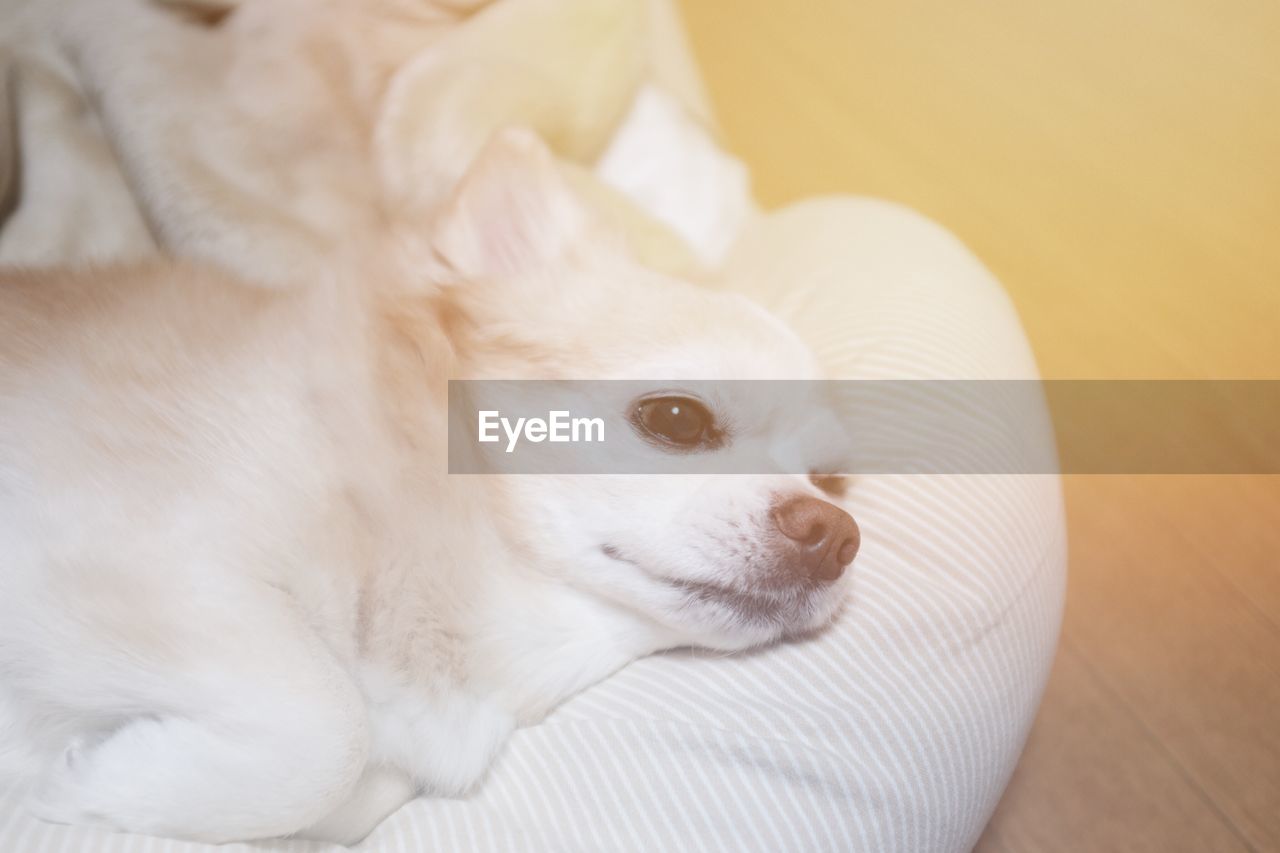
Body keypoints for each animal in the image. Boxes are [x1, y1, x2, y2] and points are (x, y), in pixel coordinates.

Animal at [2, 129, 860, 840]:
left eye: (830, 479)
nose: (835, 532)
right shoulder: (130, 554)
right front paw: (92, 783)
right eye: (678, 419)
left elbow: (345, 783)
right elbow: (327, 722)